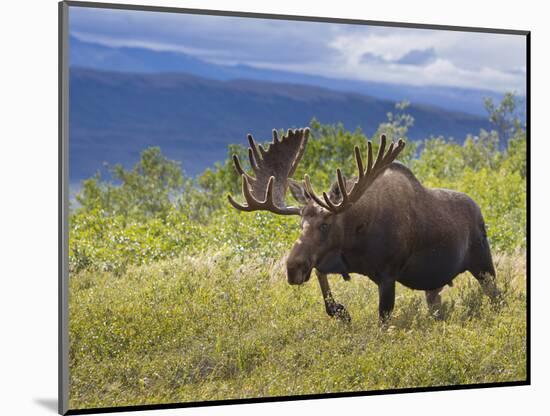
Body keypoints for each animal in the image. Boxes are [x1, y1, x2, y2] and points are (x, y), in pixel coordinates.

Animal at [227, 127, 500, 322]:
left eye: (325, 225)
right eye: (300, 224)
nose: (293, 268)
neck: (356, 239)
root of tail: (480, 211)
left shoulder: (388, 274)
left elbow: (384, 318)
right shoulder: (335, 260)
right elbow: (322, 281)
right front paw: (340, 311)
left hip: (484, 265)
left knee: (497, 298)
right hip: (434, 285)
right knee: (436, 306)